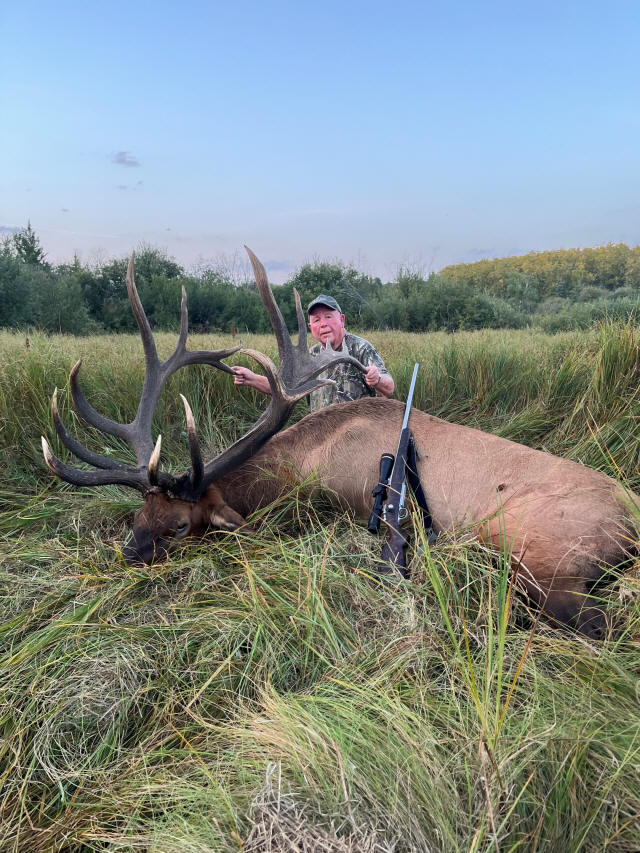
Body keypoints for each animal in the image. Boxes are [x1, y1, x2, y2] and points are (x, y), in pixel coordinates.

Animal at [42, 249, 638, 638]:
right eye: (138, 514)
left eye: (178, 528)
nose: (127, 555)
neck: (301, 465)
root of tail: (631, 523)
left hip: (538, 551)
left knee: (591, 620)